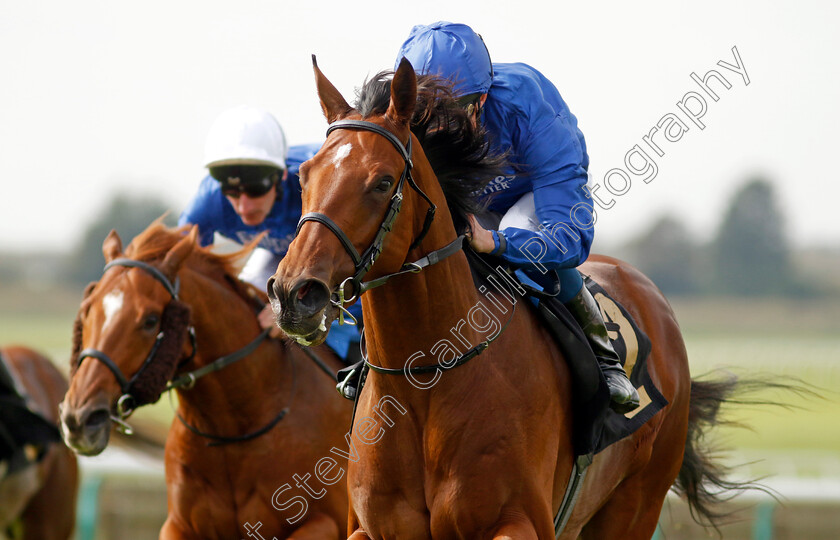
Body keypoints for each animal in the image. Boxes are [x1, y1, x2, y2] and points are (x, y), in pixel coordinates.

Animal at [59, 221, 352, 536]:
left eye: (150, 320)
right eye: (87, 311)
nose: (79, 419)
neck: (233, 430)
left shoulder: (325, 522)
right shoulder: (177, 525)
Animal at [270, 57, 740, 536]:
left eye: (382, 182)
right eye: (304, 176)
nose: (294, 292)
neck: (424, 380)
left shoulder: (521, 520)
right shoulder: (369, 527)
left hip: (635, 506)